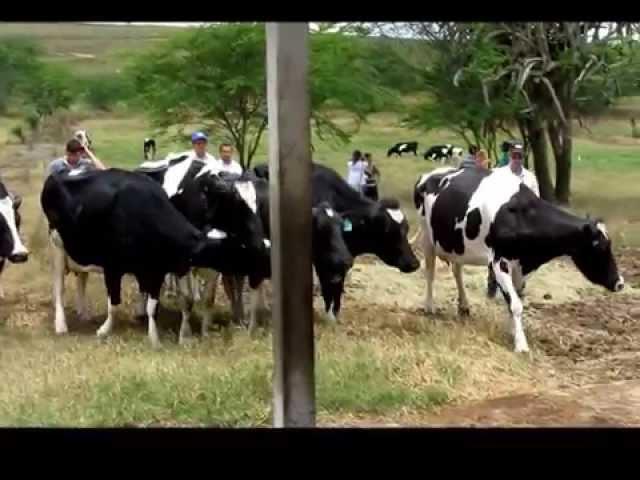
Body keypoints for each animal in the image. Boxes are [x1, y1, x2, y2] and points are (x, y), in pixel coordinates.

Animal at [40, 169, 270, 348]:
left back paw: (83, 313)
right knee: (59, 287)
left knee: (81, 277)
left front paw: (162, 337)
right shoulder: (113, 266)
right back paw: (61, 325)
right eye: (236, 204)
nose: (259, 242)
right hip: (56, 245)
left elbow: (166, 303)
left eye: (259, 202)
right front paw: (104, 330)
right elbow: (114, 303)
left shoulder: (160, 268)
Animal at [412, 166, 624, 352]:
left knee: (457, 271)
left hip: (457, 244)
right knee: (430, 271)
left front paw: (513, 333)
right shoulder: (499, 262)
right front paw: (521, 345)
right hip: (427, 237)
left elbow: (516, 301)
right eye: (599, 247)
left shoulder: (522, 266)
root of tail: (429, 174)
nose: (620, 283)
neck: (523, 216)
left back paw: (464, 306)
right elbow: (515, 304)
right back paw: (429, 307)